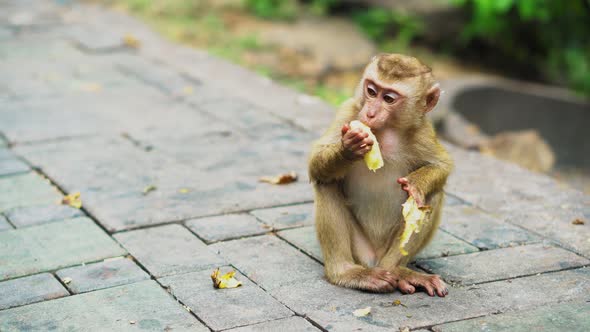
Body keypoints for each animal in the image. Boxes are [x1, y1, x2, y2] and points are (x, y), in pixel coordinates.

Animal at [310, 53, 454, 296]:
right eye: (371, 91)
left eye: (388, 98)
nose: (369, 113)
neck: (386, 131)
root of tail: (375, 260)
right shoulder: (348, 111)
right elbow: (314, 163)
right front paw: (348, 149)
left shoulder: (422, 131)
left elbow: (442, 165)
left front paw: (417, 183)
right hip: (360, 250)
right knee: (326, 182)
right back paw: (346, 273)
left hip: (389, 250)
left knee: (431, 197)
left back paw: (398, 272)